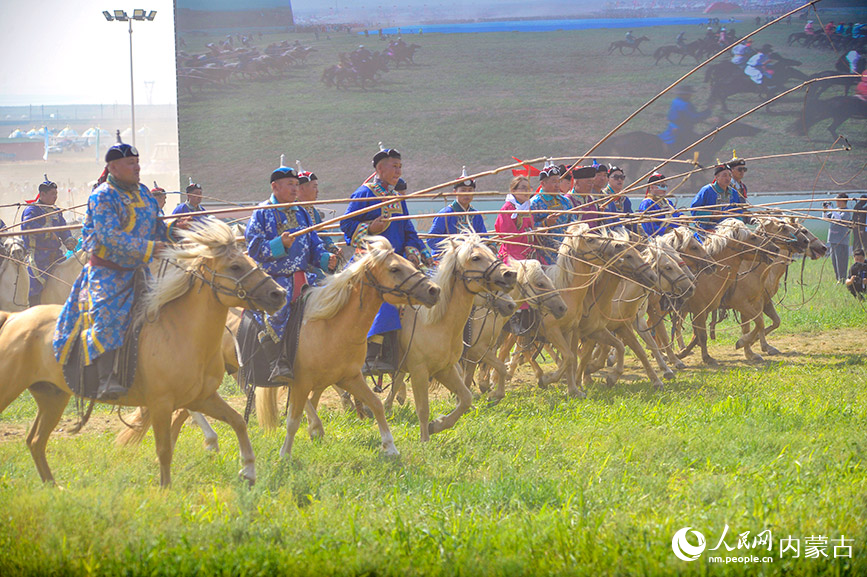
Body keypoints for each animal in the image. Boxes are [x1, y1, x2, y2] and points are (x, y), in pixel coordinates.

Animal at [0, 220, 286, 486]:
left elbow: (237, 421)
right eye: (235, 266)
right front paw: (165, 490)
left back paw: (54, 487)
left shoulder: (202, 398)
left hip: (52, 395)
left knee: (36, 441)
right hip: (11, 388)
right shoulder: (161, 404)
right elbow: (164, 449)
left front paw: (248, 470)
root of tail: (14, 319)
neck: (182, 333)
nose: (278, 293)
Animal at [254, 237, 438, 460]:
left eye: (410, 263)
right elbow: (292, 420)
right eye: (395, 269)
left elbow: (376, 405)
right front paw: (285, 455)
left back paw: (316, 427)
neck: (333, 329)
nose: (434, 290)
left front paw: (390, 447)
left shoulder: (350, 377)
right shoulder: (302, 380)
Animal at [382, 232, 516, 438]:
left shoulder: (446, 367)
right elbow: (423, 409)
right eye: (475, 257)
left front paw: (438, 424)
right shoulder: (421, 370)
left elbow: (468, 395)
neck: (435, 323)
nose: (510, 275)